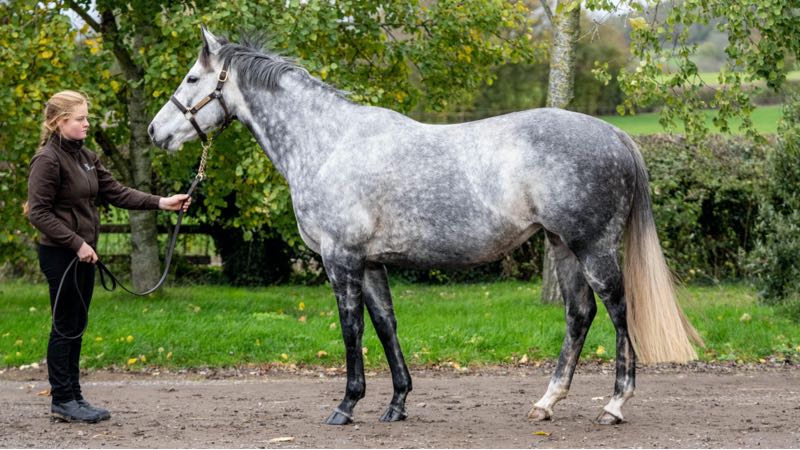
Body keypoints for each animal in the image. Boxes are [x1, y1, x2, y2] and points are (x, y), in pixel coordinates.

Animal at [149, 28, 703, 426]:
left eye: (192, 80)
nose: (156, 132)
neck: (329, 142)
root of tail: (615, 135)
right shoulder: (370, 263)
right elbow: (386, 324)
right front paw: (397, 404)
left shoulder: (340, 260)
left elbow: (351, 328)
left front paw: (346, 406)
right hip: (562, 247)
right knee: (579, 315)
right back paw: (546, 403)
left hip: (594, 249)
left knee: (618, 312)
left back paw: (614, 405)